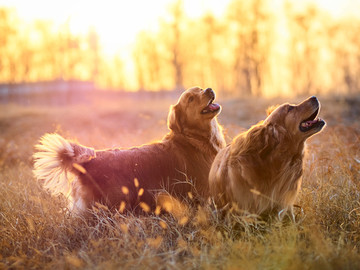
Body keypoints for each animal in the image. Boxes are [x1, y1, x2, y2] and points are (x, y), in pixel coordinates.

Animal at [33, 86, 225, 215]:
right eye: (191, 99)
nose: (209, 89)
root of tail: (86, 164)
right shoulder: (199, 195)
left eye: (200, 89)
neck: (194, 138)